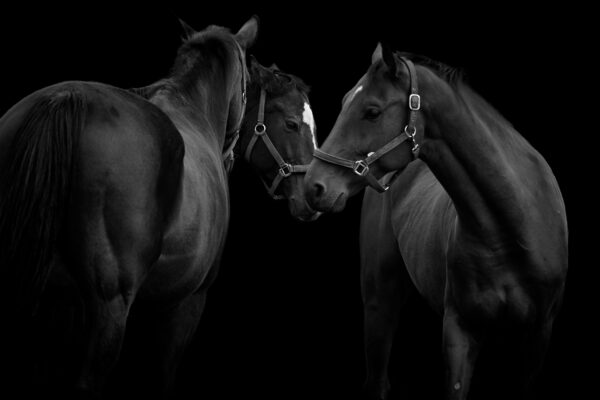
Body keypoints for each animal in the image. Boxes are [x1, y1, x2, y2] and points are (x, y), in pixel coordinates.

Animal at [0, 16, 258, 400]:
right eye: (248, 84)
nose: (231, 157)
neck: (192, 108)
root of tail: (65, 98)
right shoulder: (186, 303)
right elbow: (162, 376)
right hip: (110, 307)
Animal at [304, 42, 568, 398]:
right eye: (345, 101)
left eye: (372, 111)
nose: (313, 187)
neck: (513, 228)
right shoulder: (460, 330)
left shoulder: (538, 335)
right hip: (379, 300)